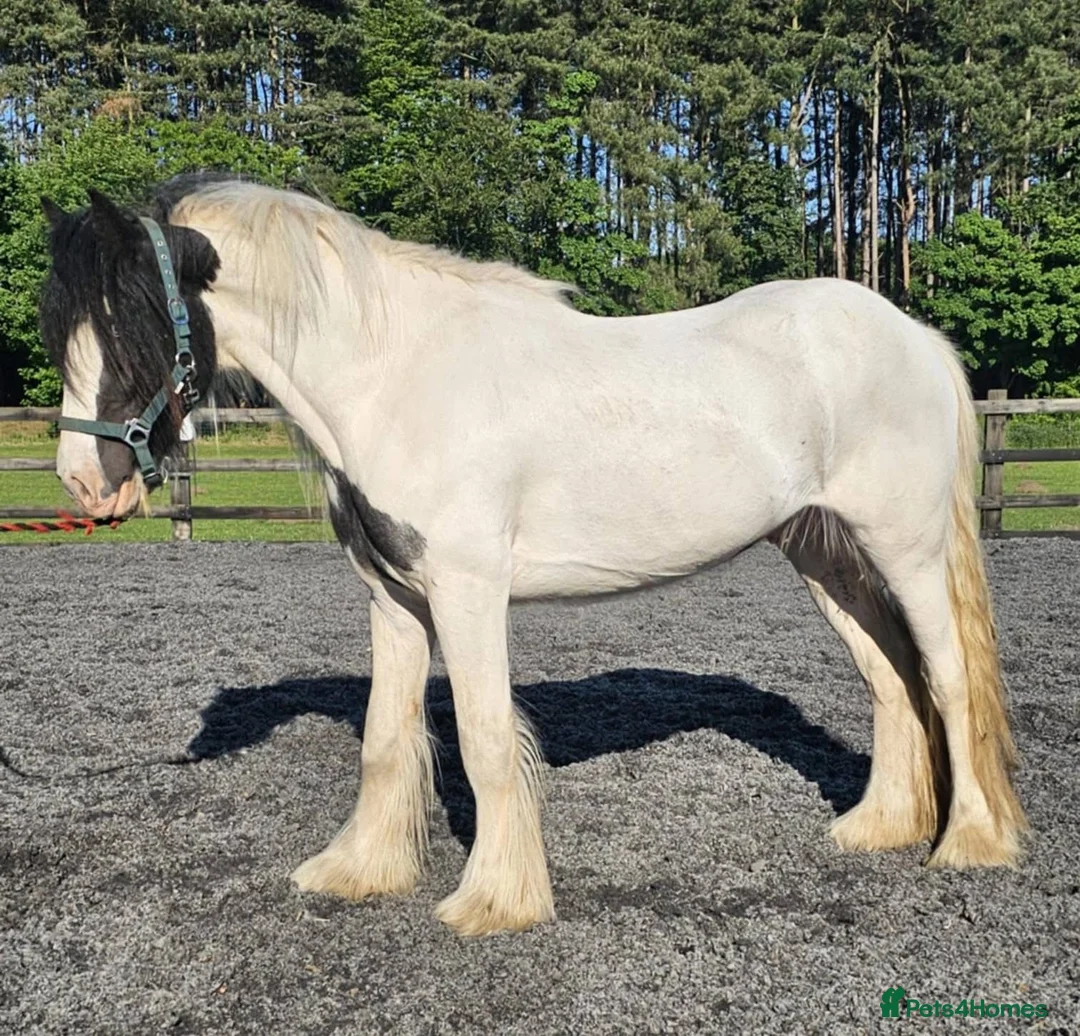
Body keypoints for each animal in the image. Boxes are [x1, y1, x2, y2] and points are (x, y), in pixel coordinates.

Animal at [38, 177, 1027, 936]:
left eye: (134, 324)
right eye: (63, 330)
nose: (87, 482)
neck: (396, 376)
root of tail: (914, 336)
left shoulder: (468, 592)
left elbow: (482, 741)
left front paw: (493, 903)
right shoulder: (393, 598)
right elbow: (386, 739)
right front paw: (358, 872)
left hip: (904, 549)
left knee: (947, 678)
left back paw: (969, 844)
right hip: (824, 554)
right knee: (891, 677)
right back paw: (879, 829)